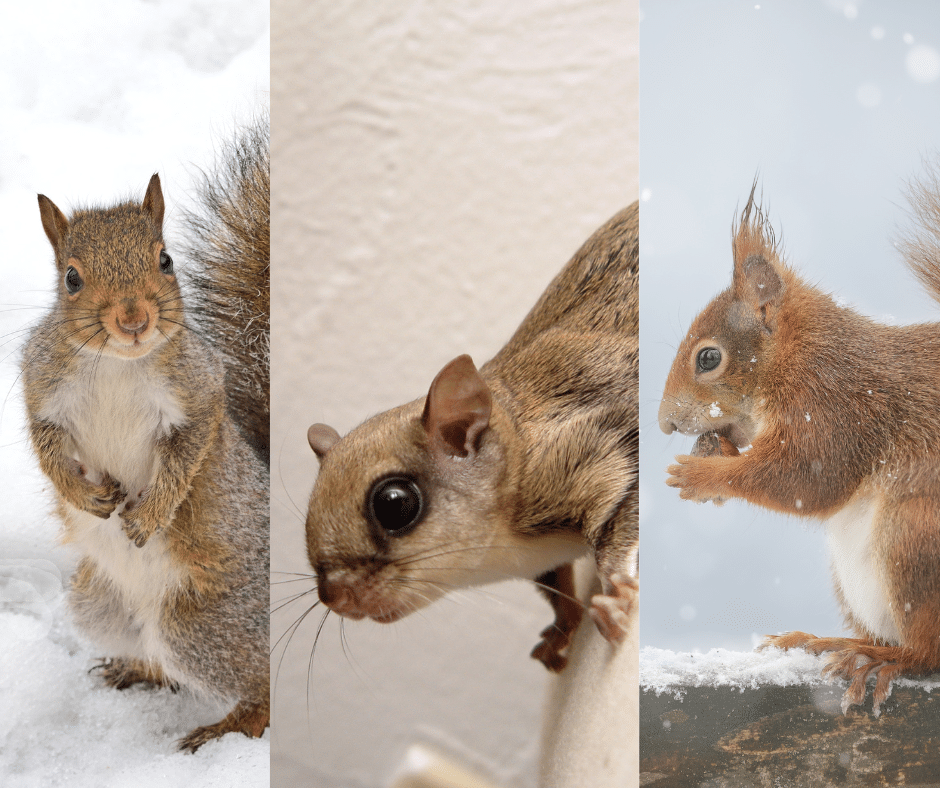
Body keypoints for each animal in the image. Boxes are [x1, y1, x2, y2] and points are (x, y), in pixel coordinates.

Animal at [21, 119, 270, 752]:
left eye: (165, 259)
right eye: (71, 278)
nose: (134, 320)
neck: (116, 364)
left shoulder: (199, 390)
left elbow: (189, 454)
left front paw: (149, 515)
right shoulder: (41, 392)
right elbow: (47, 450)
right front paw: (84, 496)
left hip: (201, 624)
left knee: (260, 688)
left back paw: (225, 729)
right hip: (97, 602)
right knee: (151, 649)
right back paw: (136, 668)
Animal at [306, 203, 639, 672]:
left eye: (395, 504)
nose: (336, 597)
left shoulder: (601, 435)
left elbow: (625, 518)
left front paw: (618, 596)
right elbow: (557, 588)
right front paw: (563, 628)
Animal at [658, 177, 940, 716]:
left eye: (708, 358)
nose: (665, 424)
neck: (795, 353)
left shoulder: (833, 403)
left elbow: (807, 479)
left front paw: (702, 475)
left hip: (915, 540)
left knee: (926, 652)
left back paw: (879, 659)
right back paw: (828, 642)